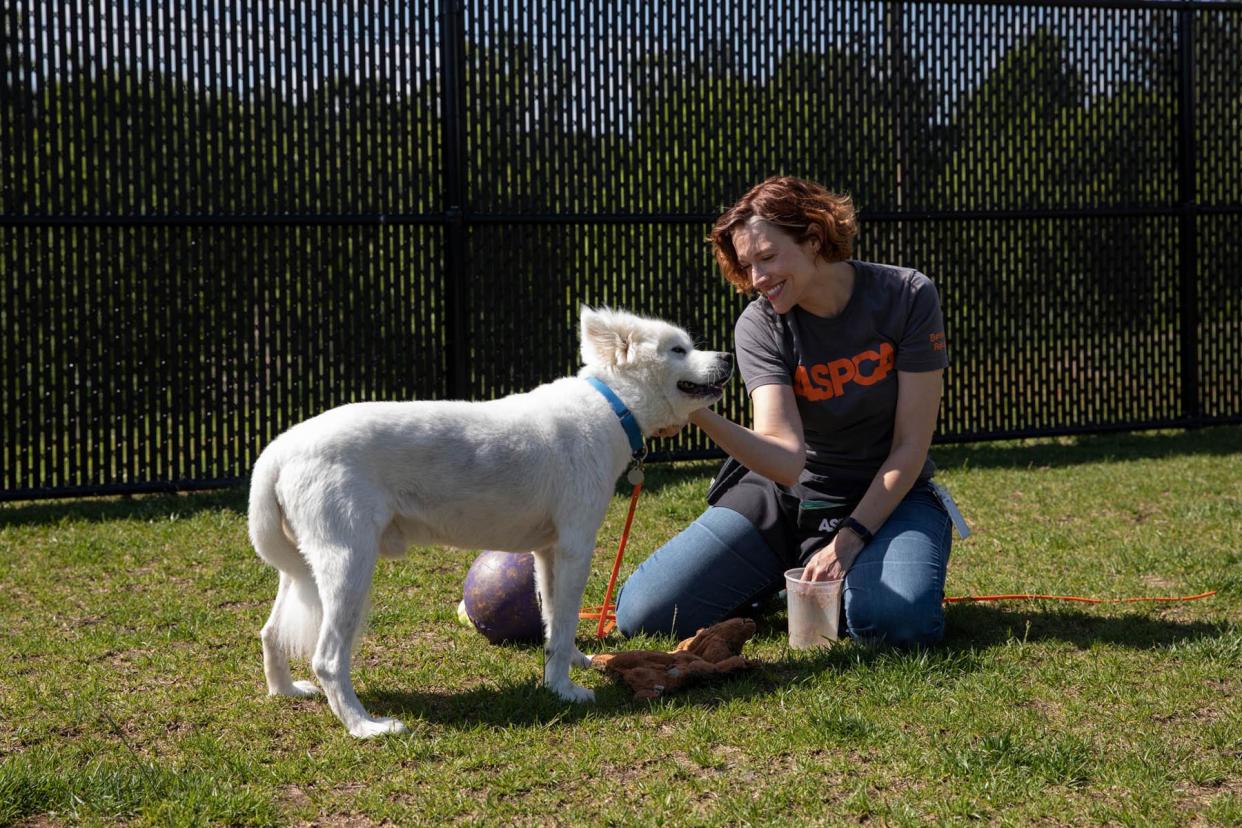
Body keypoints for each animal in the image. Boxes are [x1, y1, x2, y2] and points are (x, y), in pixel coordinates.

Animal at [247, 306, 730, 739]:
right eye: (678, 349)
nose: (727, 357)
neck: (612, 406)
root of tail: (281, 447)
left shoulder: (548, 552)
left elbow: (554, 619)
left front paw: (568, 666)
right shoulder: (576, 547)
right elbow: (566, 619)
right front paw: (564, 690)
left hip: (304, 569)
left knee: (270, 632)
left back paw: (286, 690)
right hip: (348, 565)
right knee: (328, 658)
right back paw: (364, 726)